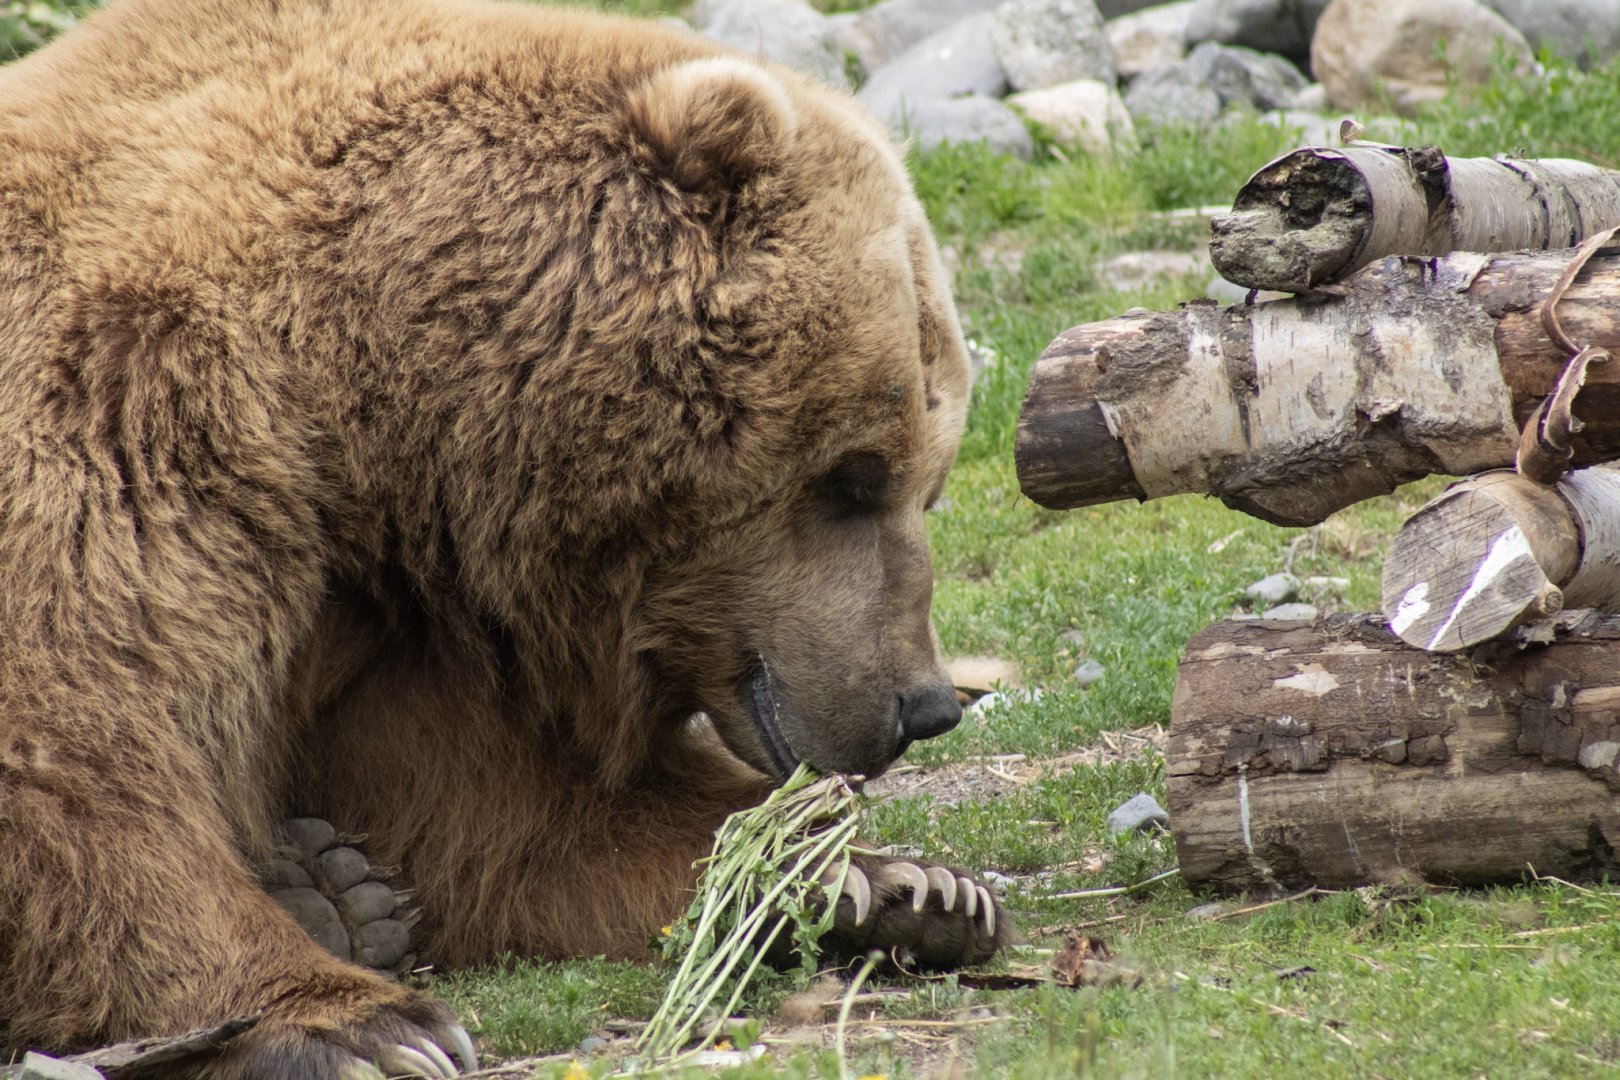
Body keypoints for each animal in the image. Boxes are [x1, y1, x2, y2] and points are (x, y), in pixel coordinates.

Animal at [0, 0, 1006, 1075]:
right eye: (855, 477)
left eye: (929, 482)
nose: (923, 705)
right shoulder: (113, 418)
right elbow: (71, 756)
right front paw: (363, 1024)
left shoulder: (388, 619)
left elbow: (505, 815)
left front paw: (898, 883)